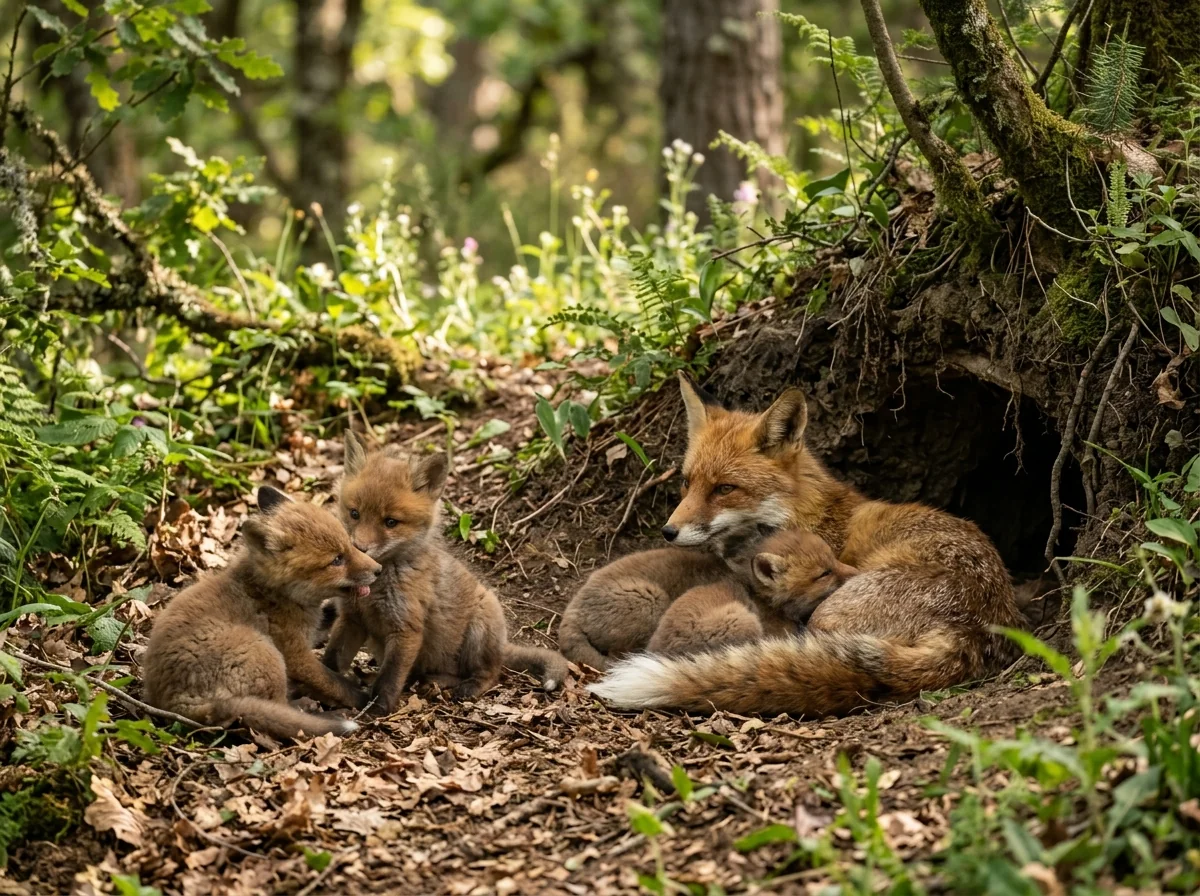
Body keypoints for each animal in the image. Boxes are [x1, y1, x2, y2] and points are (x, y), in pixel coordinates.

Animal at [142, 487, 380, 739]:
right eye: (336, 560)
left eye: (349, 544)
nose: (379, 570)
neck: (271, 593)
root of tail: (173, 705)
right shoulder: (295, 654)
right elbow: (332, 681)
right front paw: (362, 696)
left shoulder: (311, 630)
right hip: (267, 653)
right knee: (280, 707)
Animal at [323, 432, 568, 714]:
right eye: (354, 513)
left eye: (390, 522)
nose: (360, 549)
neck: (374, 590)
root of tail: (502, 644)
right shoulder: (351, 618)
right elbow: (332, 658)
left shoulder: (406, 629)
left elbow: (390, 678)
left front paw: (377, 709)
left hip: (479, 632)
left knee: (490, 673)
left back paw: (464, 686)